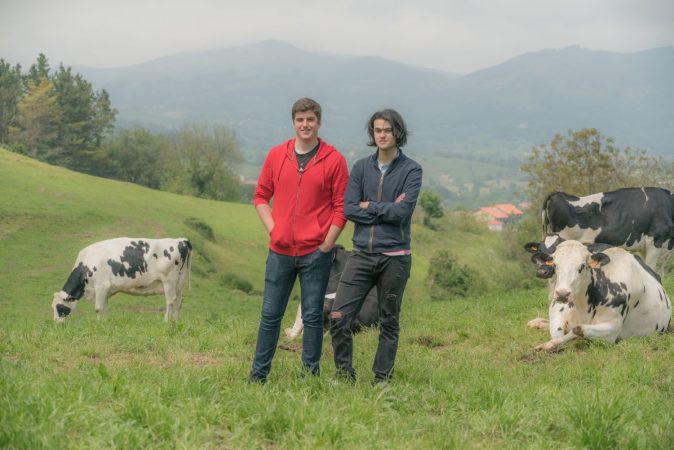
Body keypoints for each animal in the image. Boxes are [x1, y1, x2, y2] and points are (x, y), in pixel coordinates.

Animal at [50, 237, 189, 322]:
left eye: (59, 307)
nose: (57, 324)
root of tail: (182, 240)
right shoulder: (105, 291)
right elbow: (104, 308)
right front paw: (104, 323)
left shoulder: (101, 287)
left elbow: (98, 308)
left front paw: (99, 324)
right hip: (179, 283)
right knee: (179, 301)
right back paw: (175, 321)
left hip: (169, 281)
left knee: (170, 301)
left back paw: (165, 321)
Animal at [524, 239, 668, 352]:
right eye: (555, 265)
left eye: (582, 266)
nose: (562, 294)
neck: (582, 308)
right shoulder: (557, 316)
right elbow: (558, 334)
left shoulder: (612, 331)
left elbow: (578, 330)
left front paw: (545, 346)